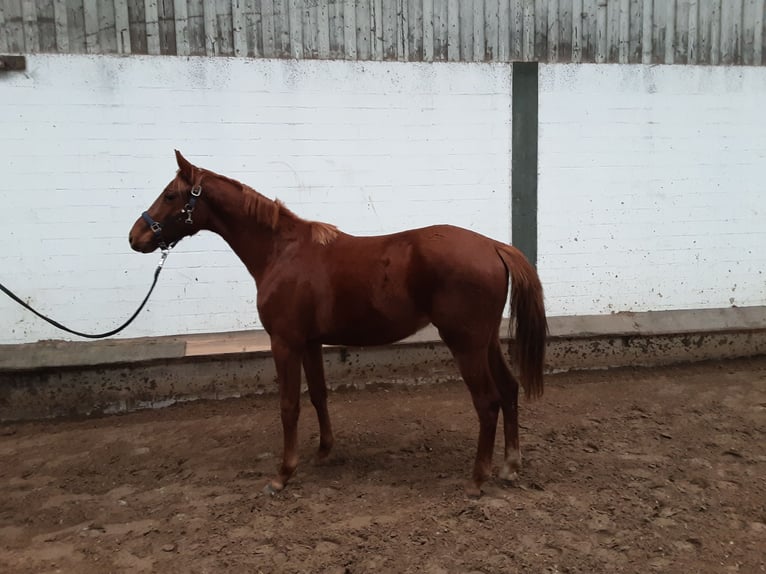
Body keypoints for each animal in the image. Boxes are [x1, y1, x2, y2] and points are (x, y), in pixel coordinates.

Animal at [129, 151, 548, 498]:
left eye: (170, 195)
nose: (136, 237)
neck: (283, 252)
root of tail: (493, 245)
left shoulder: (284, 342)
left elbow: (288, 405)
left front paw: (282, 474)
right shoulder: (310, 342)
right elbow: (318, 395)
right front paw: (323, 451)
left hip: (465, 344)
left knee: (488, 402)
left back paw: (477, 480)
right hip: (485, 341)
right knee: (509, 390)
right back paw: (510, 465)